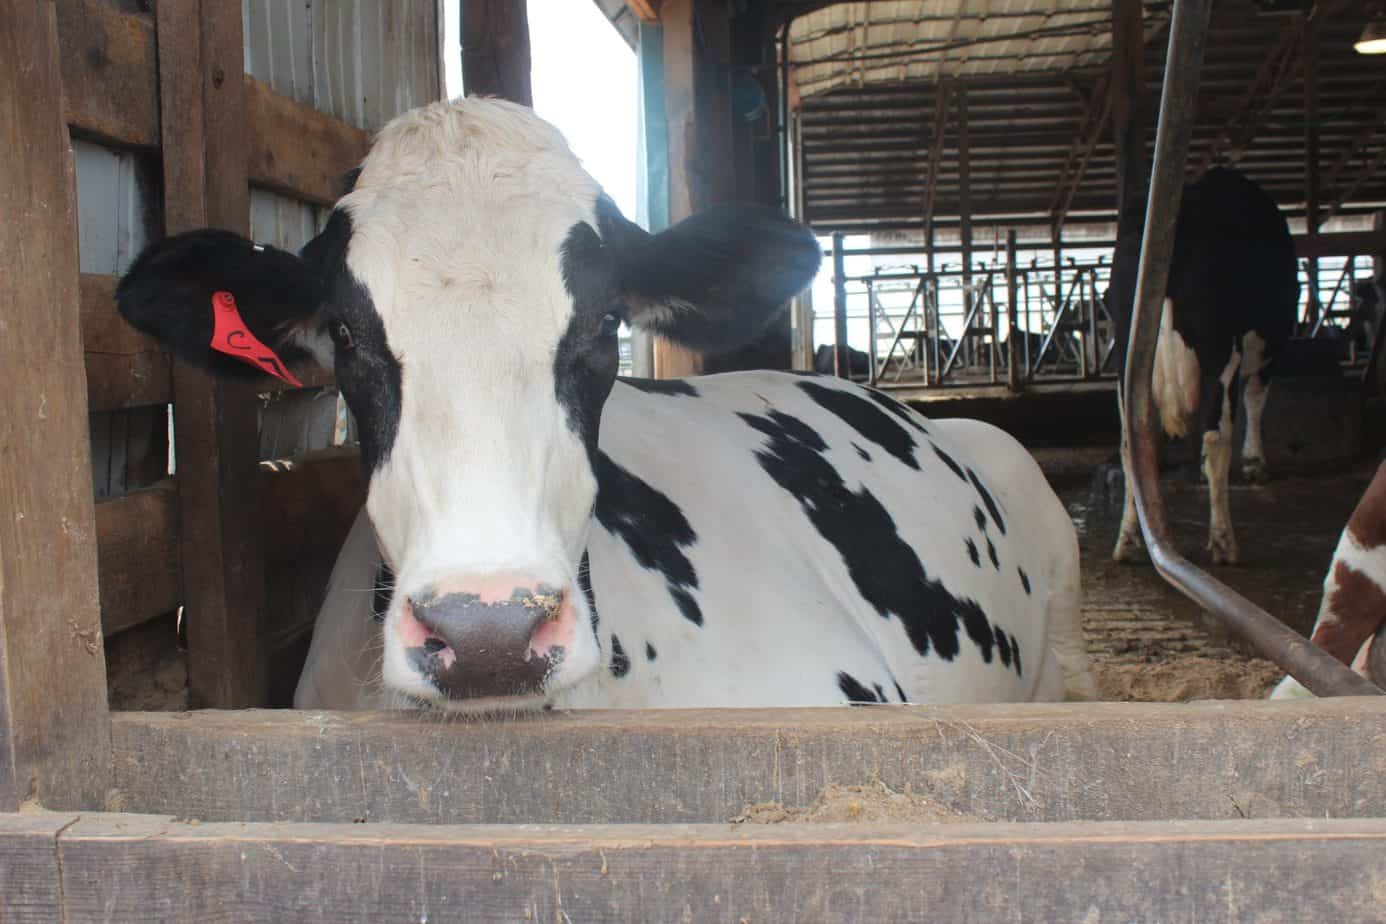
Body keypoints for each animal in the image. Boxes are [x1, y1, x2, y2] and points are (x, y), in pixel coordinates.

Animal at [1108, 167, 1298, 565]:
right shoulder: (1269, 349)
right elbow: (1256, 400)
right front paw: (1255, 463)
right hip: (1220, 350)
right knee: (1217, 436)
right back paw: (1223, 541)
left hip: (1125, 358)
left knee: (1130, 442)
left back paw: (1129, 540)